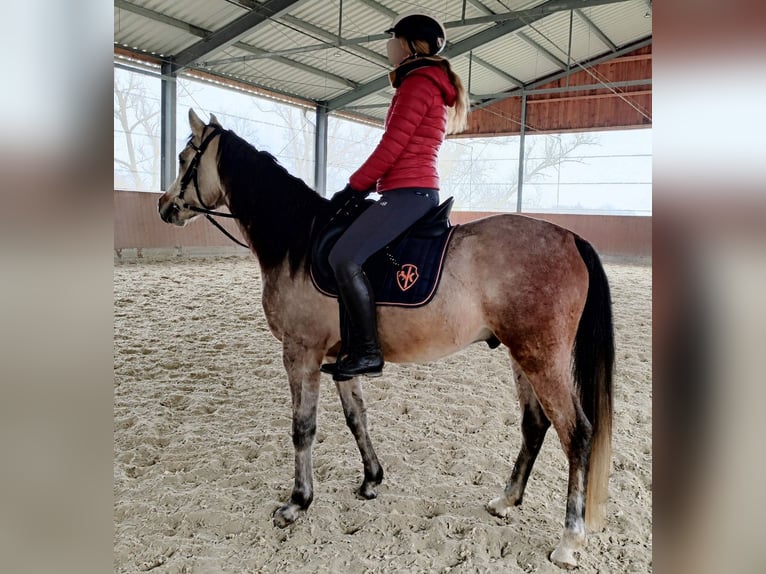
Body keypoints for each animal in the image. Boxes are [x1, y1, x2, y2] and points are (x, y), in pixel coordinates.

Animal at [158, 109, 614, 569]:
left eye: (183, 158)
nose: (164, 206)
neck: (298, 243)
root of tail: (570, 238)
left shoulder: (301, 352)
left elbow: (303, 427)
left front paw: (298, 502)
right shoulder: (340, 359)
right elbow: (356, 417)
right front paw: (371, 479)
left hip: (541, 357)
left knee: (576, 434)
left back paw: (569, 540)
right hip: (522, 356)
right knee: (535, 424)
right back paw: (506, 500)